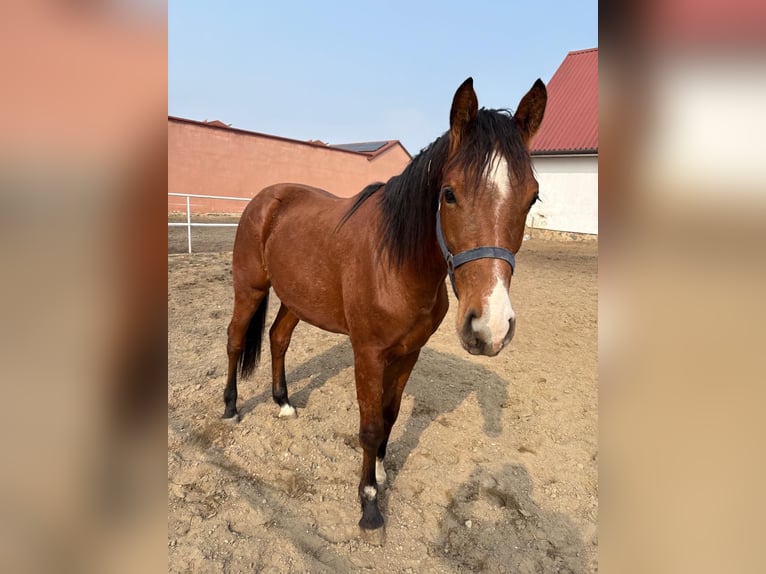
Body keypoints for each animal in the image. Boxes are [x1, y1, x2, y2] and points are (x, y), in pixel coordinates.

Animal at [222, 79, 544, 532]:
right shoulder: (369, 353)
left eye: (532, 198)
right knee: (235, 340)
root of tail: (266, 198)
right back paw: (231, 407)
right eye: (449, 194)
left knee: (278, 338)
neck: (395, 262)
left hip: (296, 299)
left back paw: (283, 402)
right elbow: (371, 426)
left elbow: (390, 415)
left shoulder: (408, 352)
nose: (490, 329)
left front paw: (379, 470)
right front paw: (369, 503)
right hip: (249, 289)